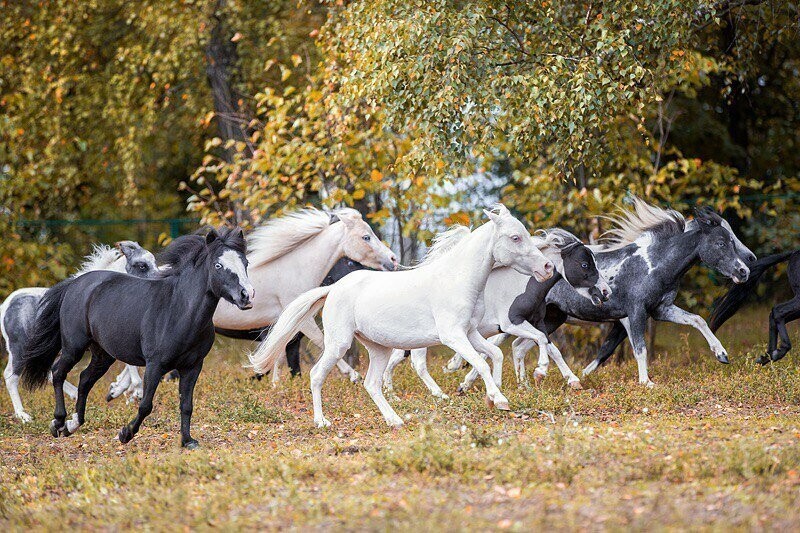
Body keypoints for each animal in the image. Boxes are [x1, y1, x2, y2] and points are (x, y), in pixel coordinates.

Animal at [0, 241, 159, 420]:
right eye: (142, 265)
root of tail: (5, 306)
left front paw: (117, 390)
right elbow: (132, 368)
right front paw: (133, 392)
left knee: (49, 372)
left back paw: (75, 395)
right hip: (20, 350)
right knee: (10, 376)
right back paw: (23, 416)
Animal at [248, 204, 552, 428]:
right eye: (515, 237)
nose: (547, 267)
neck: (457, 279)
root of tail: (333, 288)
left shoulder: (470, 332)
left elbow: (494, 355)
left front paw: (494, 395)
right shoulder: (453, 336)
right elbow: (481, 361)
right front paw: (499, 398)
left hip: (379, 349)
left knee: (372, 384)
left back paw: (394, 420)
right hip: (338, 344)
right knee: (317, 375)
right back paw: (322, 421)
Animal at [384, 227, 608, 396]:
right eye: (584, 264)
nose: (606, 292)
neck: (519, 285)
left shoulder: (538, 322)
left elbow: (551, 347)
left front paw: (572, 381)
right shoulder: (511, 324)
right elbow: (540, 342)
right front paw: (540, 371)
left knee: (395, 359)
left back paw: (391, 392)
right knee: (418, 364)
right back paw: (438, 394)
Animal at [510, 200, 752, 386]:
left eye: (731, 239)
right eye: (721, 242)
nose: (745, 270)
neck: (653, 265)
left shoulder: (661, 310)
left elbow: (697, 319)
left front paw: (721, 354)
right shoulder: (635, 312)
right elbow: (639, 348)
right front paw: (646, 382)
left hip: (553, 318)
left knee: (521, 346)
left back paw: (526, 384)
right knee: (531, 345)